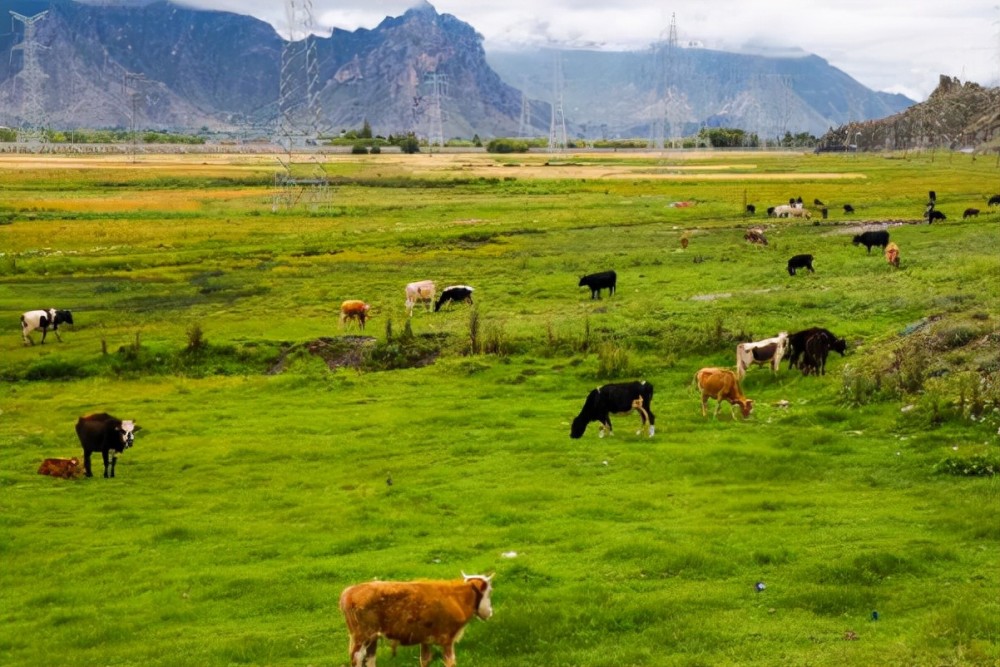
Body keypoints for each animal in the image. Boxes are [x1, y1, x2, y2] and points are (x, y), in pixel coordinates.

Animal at [340, 576, 492, 667]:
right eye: (489, 591)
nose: (490, 611)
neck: (456, 598)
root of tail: (349, 592)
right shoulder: (447, 639)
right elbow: (450, 662)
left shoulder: (425, 640)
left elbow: (425, 660)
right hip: (361, 637)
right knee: (357, 658)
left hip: (372, 638)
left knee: (370, 659)